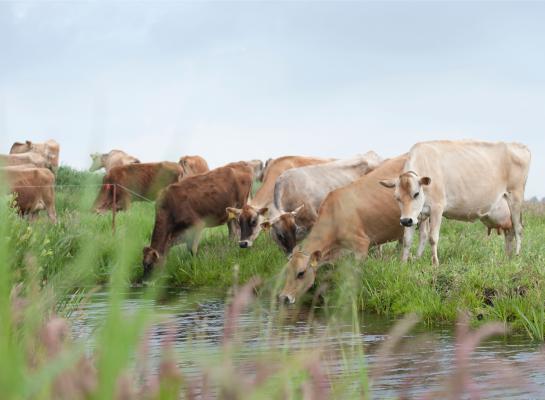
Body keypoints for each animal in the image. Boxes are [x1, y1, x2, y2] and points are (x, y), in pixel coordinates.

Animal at [378, 141, 528, 266]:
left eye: (416, 194)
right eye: (397, 197)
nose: (405, 221)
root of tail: (520, 146)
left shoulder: (437, 208)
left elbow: (432, 237)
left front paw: (435, 263)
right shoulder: (416, 215)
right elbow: (409, 239)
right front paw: (404, 263)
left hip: (515, 198)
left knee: (518, 229)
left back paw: (516, 255)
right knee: (509, 232)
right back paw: (507, 257)